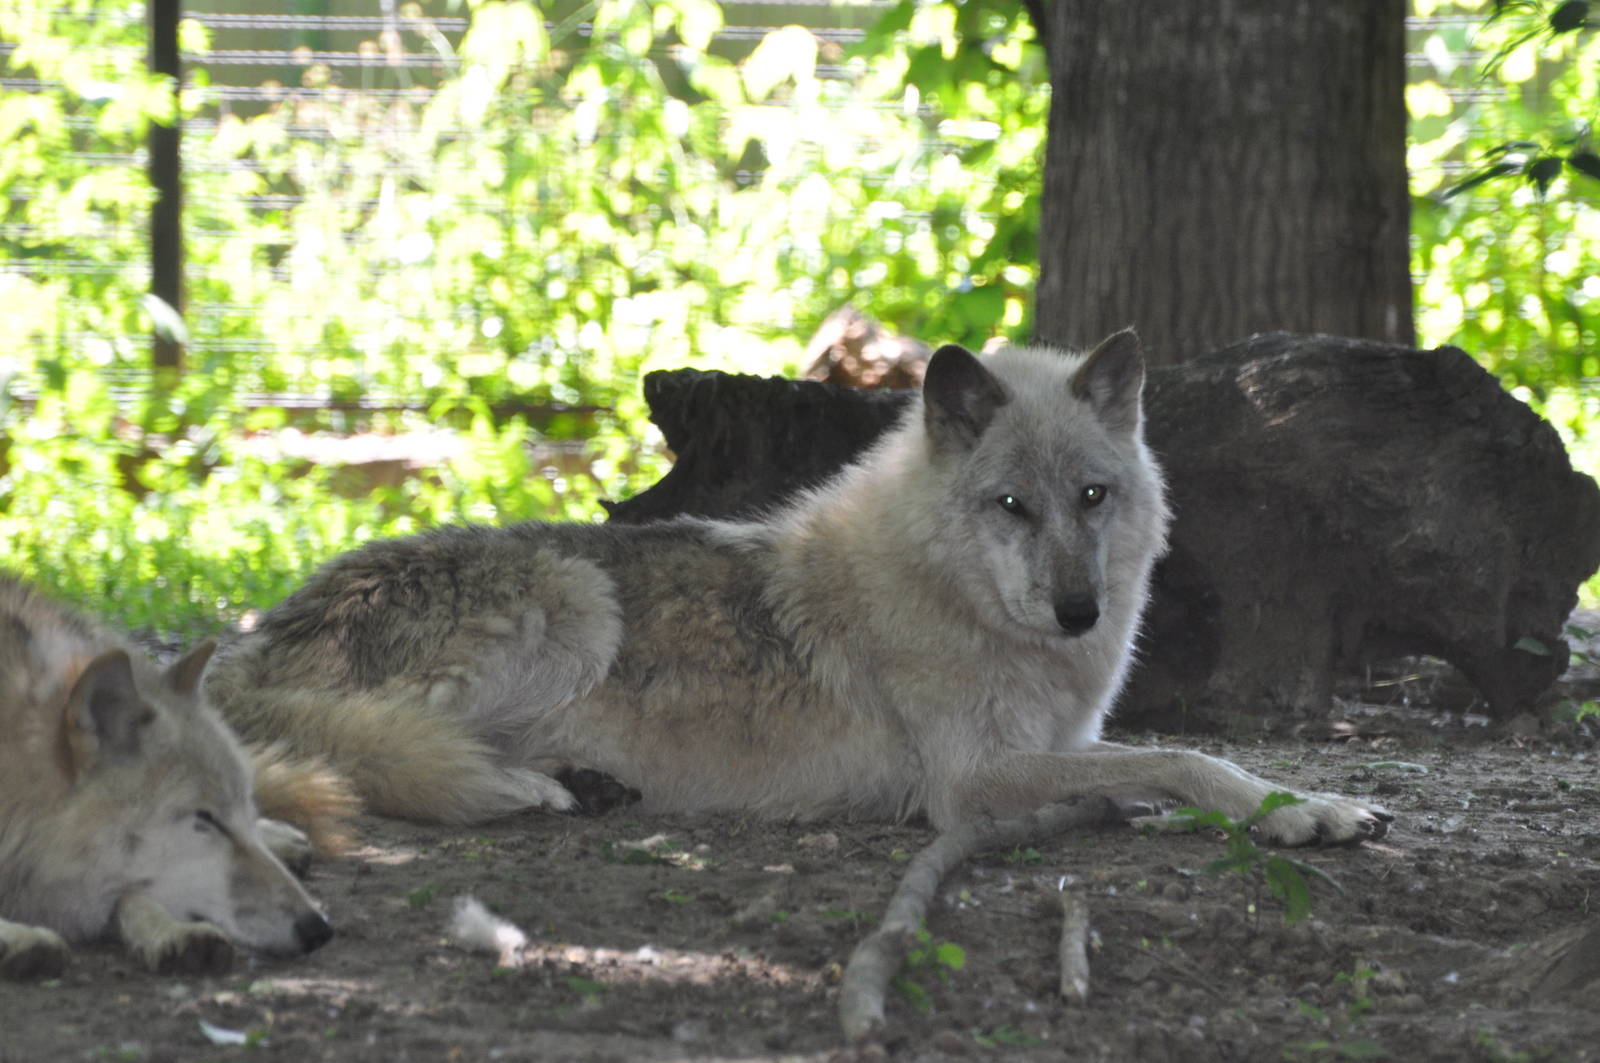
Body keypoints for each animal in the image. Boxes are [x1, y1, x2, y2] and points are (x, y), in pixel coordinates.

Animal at [0, 577, 348, 980]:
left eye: (241, 810)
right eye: (206, 820)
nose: (319, 929)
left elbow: (132, 895)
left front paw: (170, 930)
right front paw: (16, 937)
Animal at [205, 331, 1391, 846]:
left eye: (1093, 496)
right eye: (1011, 505)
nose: (1078, 612)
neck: (944, 592)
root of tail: (243, 648)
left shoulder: (1060, 740)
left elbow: (1164, 763)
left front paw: (1295, 805)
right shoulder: (968, 781)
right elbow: (1190, 755)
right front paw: (1298, 809)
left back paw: (579, 782)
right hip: (576, 601)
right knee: (368, 759)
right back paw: (519, 787)